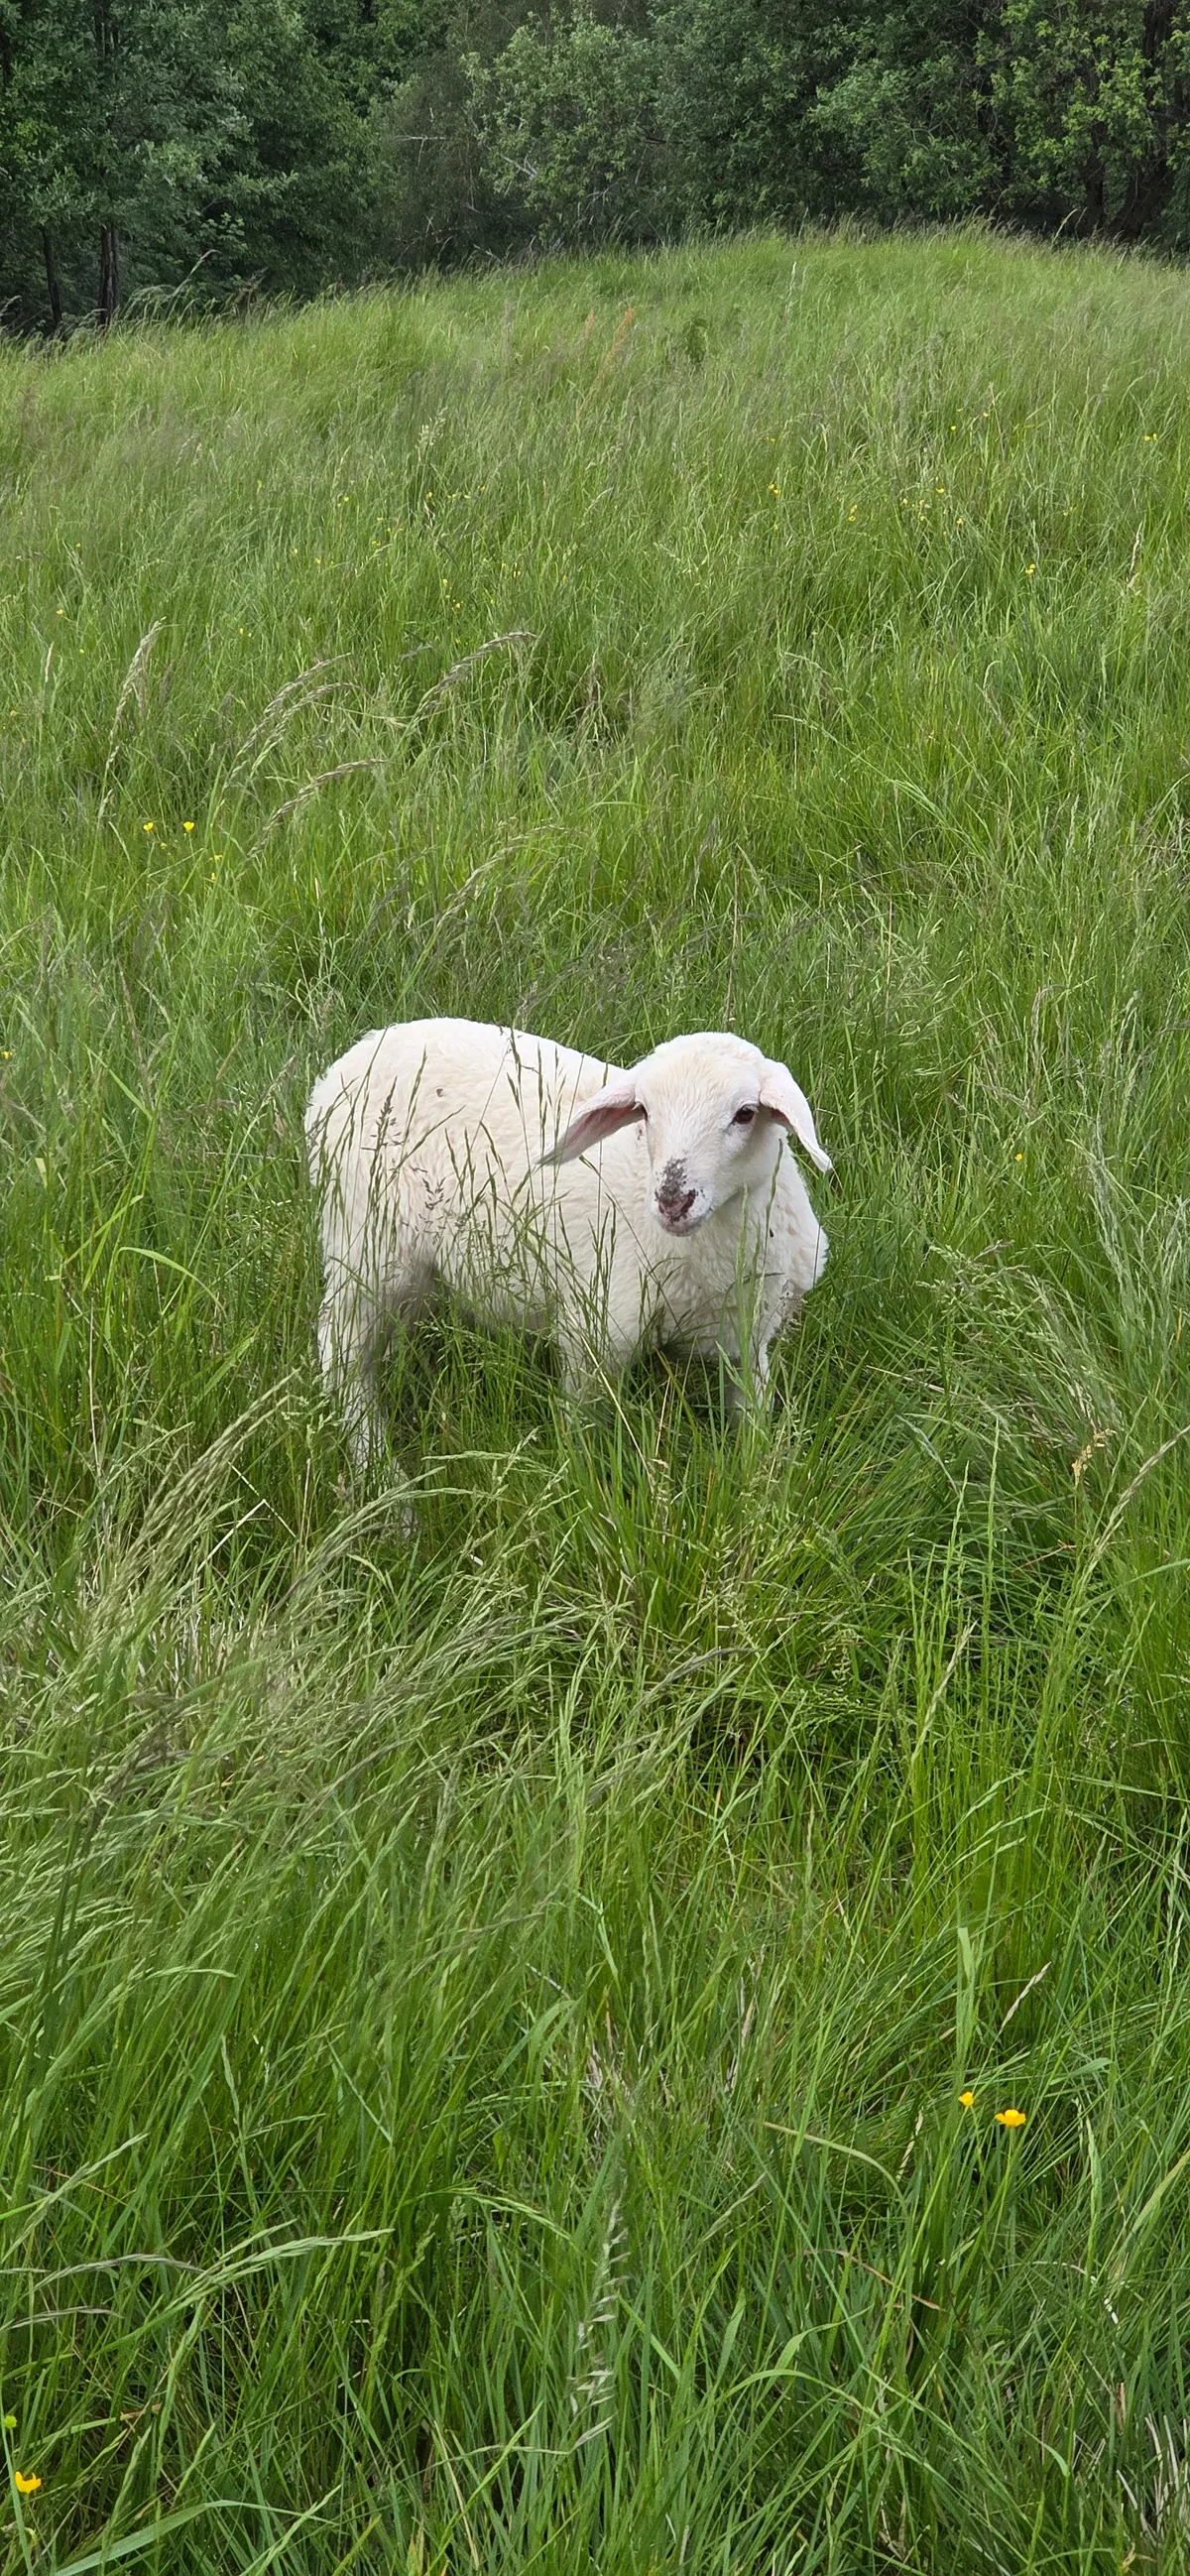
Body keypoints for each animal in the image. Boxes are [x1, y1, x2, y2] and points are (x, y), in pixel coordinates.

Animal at [305, 1017, 831, 1471]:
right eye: (644, 1112)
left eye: (745, 1113)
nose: (672, 1200)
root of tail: (350, 1061)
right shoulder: (594, 1336)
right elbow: (581, 1430)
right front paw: (584, 1480)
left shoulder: (748, 1337)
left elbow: (752, 1419)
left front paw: (758, 1475)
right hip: (367, 1244)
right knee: (341, 1353)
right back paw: (382, 1477)